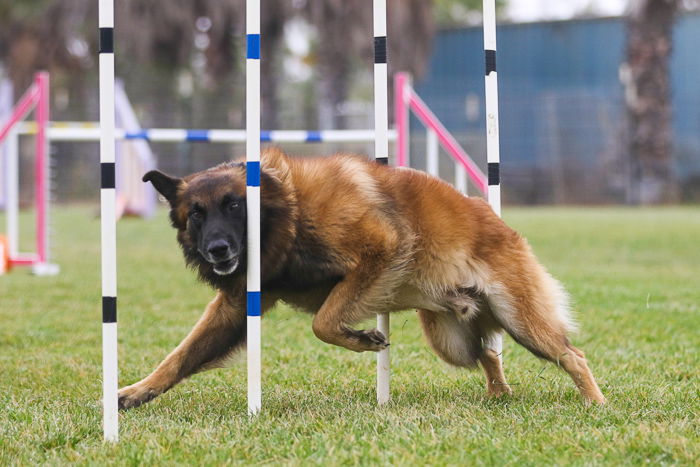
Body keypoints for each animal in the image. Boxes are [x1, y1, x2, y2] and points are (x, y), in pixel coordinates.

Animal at [117, 149, 604, 410]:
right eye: (197, 214)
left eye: (234, 206)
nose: (216, 250)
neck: (289, 211)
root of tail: (500, 226)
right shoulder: (239, 304)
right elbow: (180, 357)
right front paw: (136, 392)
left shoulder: (380, 251)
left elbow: (324, 321)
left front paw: (362, 339)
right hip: (450, 339)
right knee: (486, 352)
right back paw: (500, 393)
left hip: (519, 318)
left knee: (571, 354)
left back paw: (595, 403)